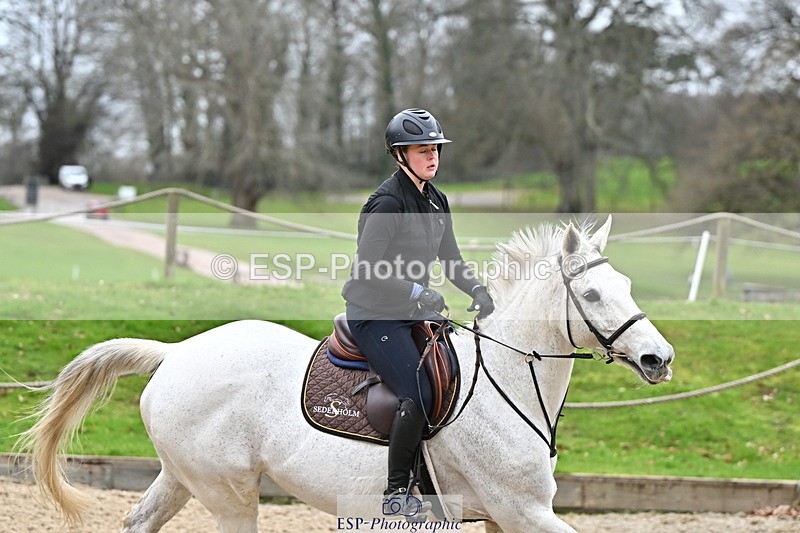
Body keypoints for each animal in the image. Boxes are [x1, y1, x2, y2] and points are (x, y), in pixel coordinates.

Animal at [19, 215, 674, 533]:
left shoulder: (503, 518)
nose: (658, 359)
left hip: (184, 476)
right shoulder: (522, 510)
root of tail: (176, 352)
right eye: (592, 293)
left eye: (626, 285)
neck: (508, 377)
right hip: (227, 493)